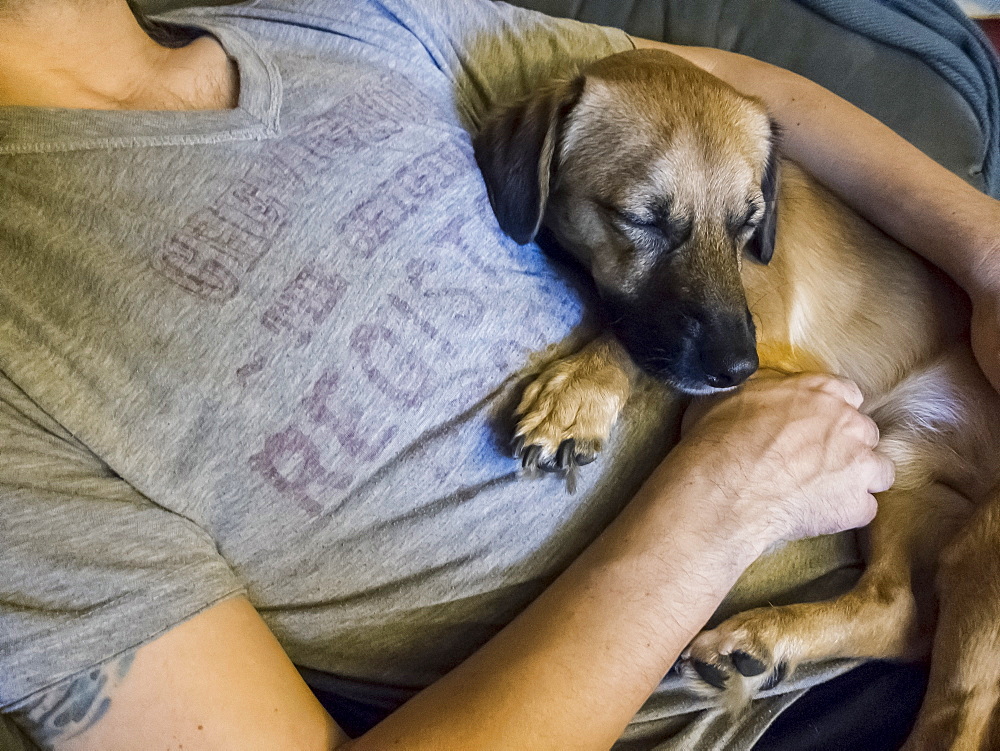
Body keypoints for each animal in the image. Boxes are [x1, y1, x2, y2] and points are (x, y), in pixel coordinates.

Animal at [472, 50, 1000, 748]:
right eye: (640, 218)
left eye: (748, 223)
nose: (736, 371)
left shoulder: (771, 338)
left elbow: (635, 348)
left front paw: (581, 391)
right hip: (906, 470)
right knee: (900, 609)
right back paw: (764, 643)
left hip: (982, 548)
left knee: (961, 703)